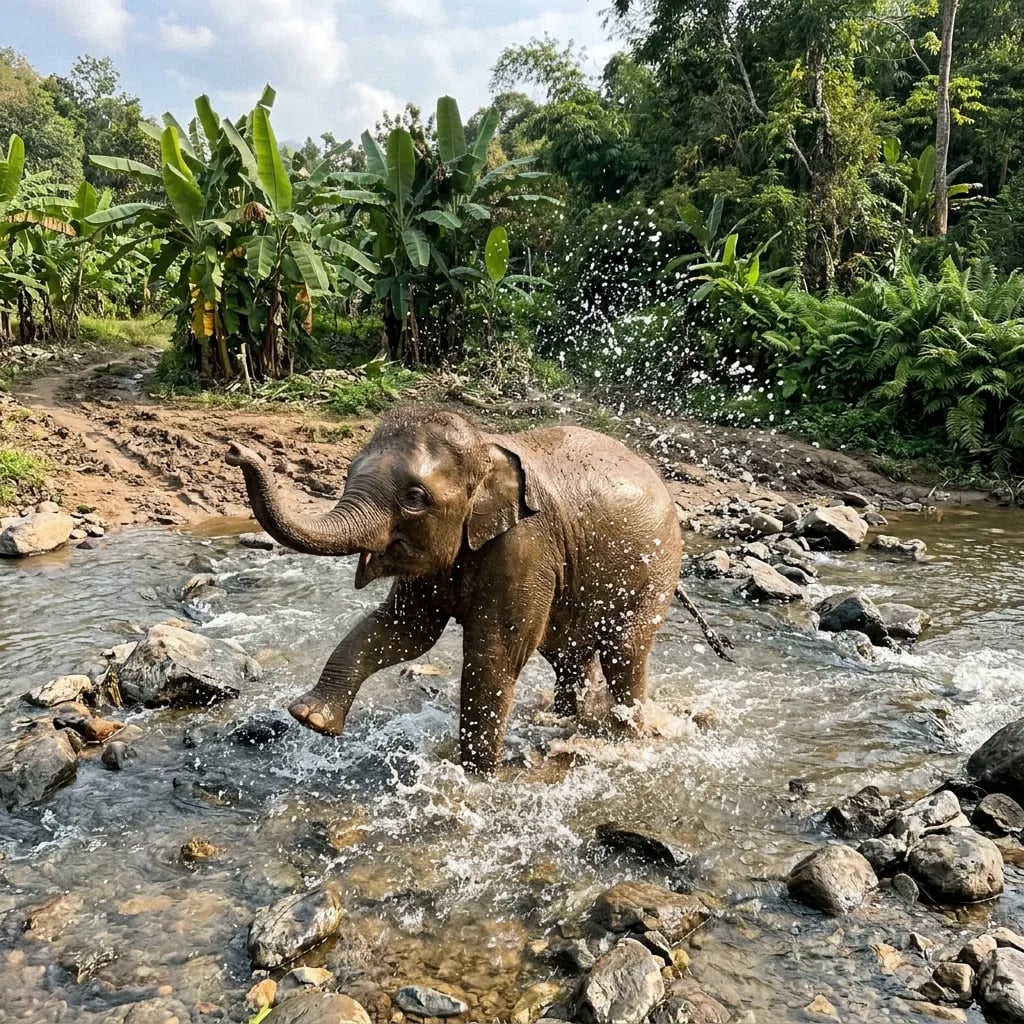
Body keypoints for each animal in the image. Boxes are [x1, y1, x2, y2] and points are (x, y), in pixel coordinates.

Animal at [227, 407, 731, 774]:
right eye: (348, 474)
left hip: (656, 568)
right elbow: (403, 631)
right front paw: (310, 719)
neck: (488, 450)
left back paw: (628, 737)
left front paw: (477, 775)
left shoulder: (526, 546)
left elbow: (495, 653)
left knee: (624, 652)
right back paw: (562, 721)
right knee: (568, 654)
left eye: (414, 498)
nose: (235, 450)